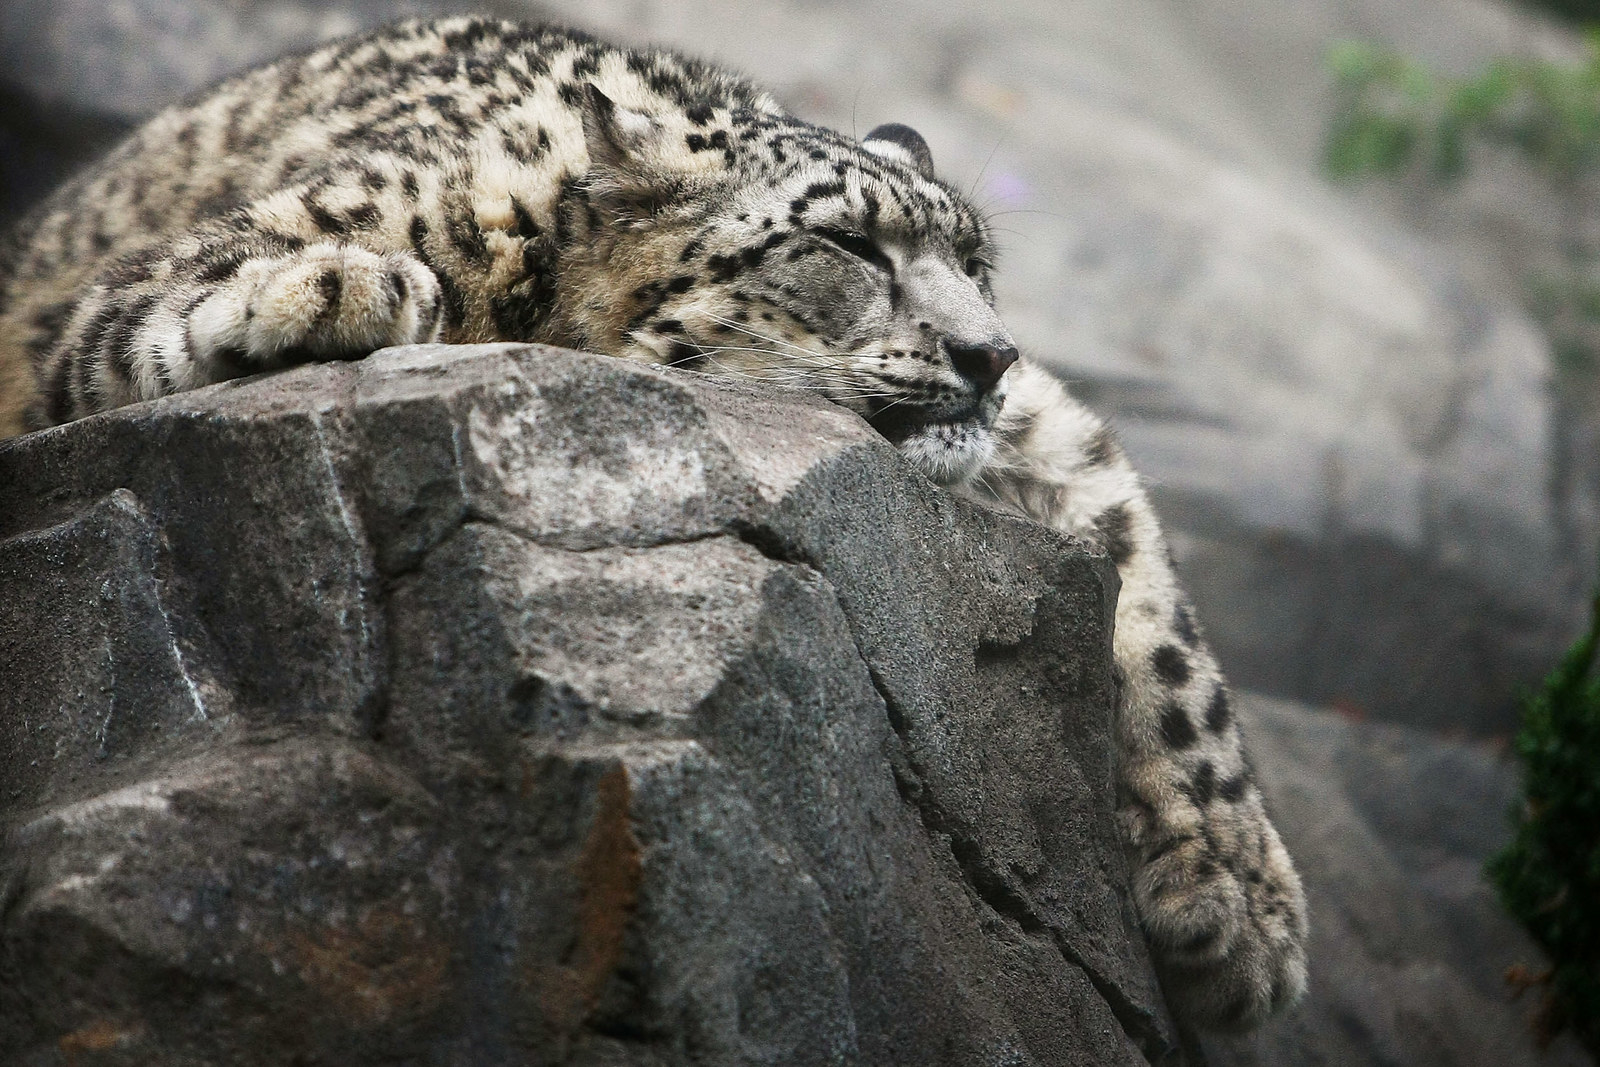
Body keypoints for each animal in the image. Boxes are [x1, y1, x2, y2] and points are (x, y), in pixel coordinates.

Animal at [0, 14, 1305, 1036]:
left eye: (975, 259)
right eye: (847, 243)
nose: (988, 353)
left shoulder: (1054, 435)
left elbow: (1160, 615)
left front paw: (1243, 911)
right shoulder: (138, 296)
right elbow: (152, 308)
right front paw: (338, 283)